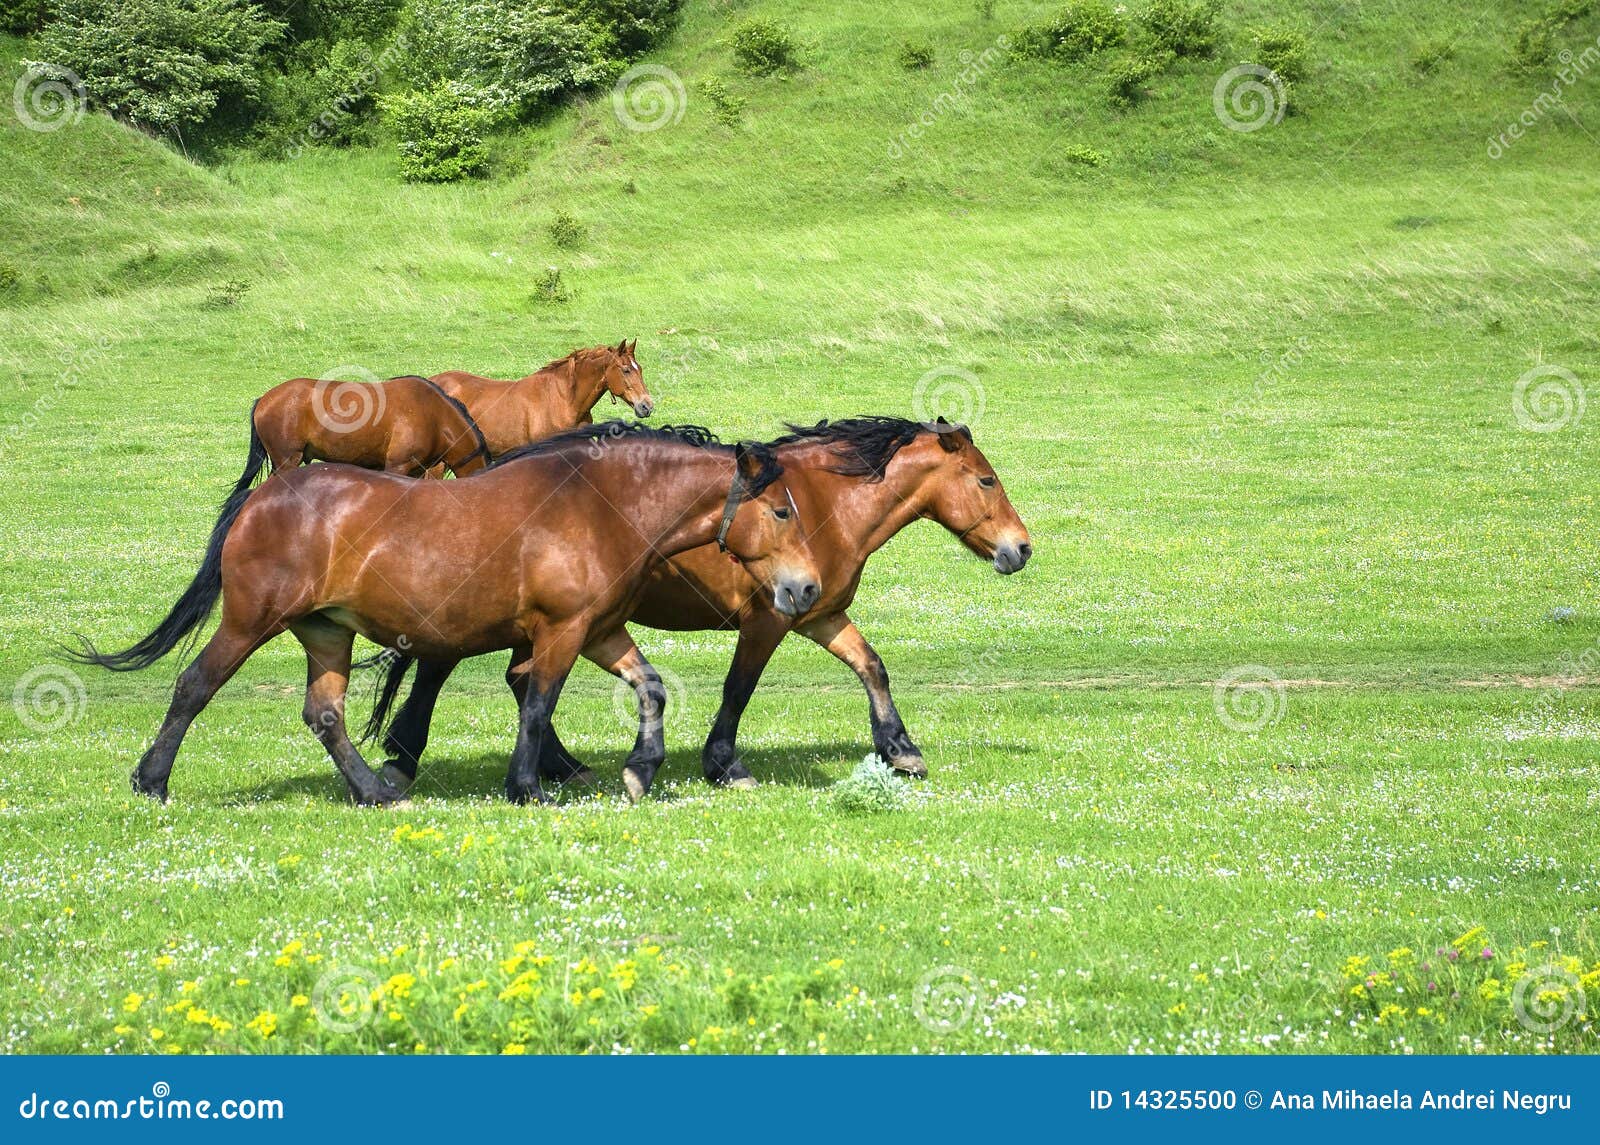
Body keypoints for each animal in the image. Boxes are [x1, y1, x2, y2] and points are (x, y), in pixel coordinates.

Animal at [66, 423, 823, 806]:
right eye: (782, 511)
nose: (807, 589)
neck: (598, 507)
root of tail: (263, 497)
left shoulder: (601, 630)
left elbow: (651, 687)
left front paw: (641, 769)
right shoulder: (561, 631)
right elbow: (538, 704)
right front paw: (527, 787)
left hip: (326, 632)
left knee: (326, 716)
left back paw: (375, 792)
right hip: (250, 622)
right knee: (194, 686)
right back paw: (152, 781)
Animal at [364, 417, 1032, 793]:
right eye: (987, 480)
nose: (1021, 548)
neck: (825, 506)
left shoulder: (820, 614)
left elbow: (872, 666)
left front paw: (900, 750)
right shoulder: (770, 620)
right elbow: (739, 689)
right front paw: (724, 766)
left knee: (517, 678)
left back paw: (561, 764)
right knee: (445, 666)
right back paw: (404, 757)